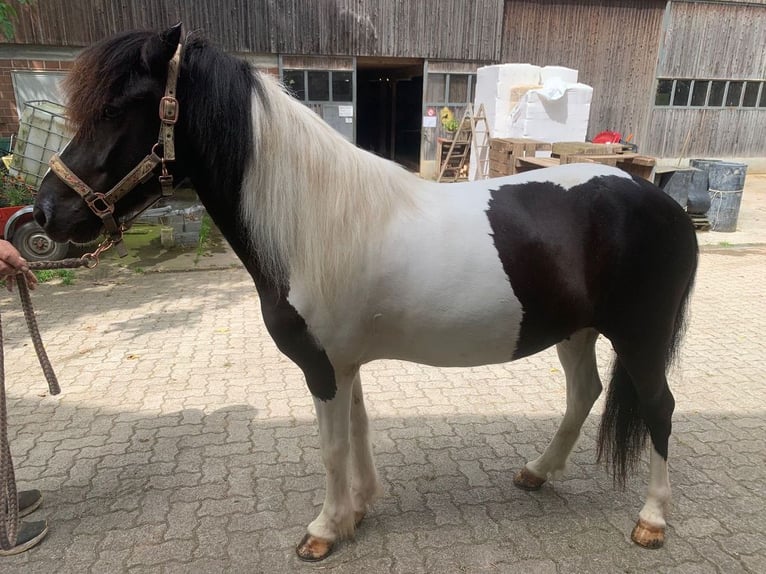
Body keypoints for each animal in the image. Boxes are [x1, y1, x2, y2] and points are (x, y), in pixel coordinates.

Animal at [34, 24, 698, 562]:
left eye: (117, 109)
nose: (45, 213)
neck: (310, 223)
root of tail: (663, 201)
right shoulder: (344, 362)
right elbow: (357, 430)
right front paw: (358, 509)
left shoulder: (322, 366)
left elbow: (331, 446)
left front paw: (324, 530)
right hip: (577, 331)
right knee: (583, 393)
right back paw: (538, 472)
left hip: (639, 336)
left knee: (659, 407)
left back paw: (652, 520)